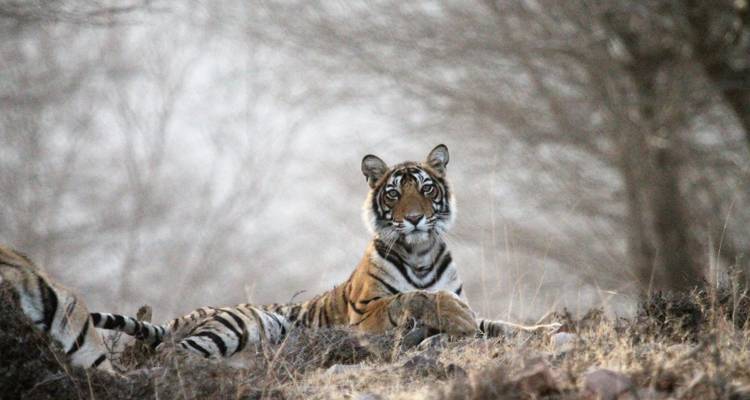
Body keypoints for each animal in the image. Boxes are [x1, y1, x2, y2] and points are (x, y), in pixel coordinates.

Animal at [92, 144, 558, 358]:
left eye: (426, 190)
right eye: (394, 193)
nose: (413, 219)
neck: (421, 252)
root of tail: (189, 313)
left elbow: (501, 325)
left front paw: (546, 330)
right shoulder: (365, 314)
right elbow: (415, 296)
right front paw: (450, 316)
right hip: (237, 324)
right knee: (174, 354)